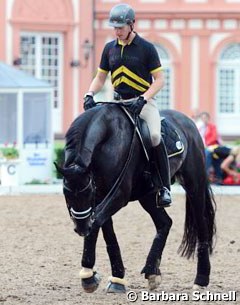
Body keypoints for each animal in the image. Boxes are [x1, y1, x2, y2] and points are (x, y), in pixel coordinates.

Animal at [55, 104, 217, 292]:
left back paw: (201, 279)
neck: (106, 140)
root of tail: (188, 122)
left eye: (88, 192)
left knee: (201, 224)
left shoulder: (119, 194)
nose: (81, 228)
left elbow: (95, 224)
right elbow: (107, 232)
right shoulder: (102, 195)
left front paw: (88, 275)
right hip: (148, 195)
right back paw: (152, 271)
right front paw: (116, 278)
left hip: (194, 185)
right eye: (66, 193)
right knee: (165, 223)